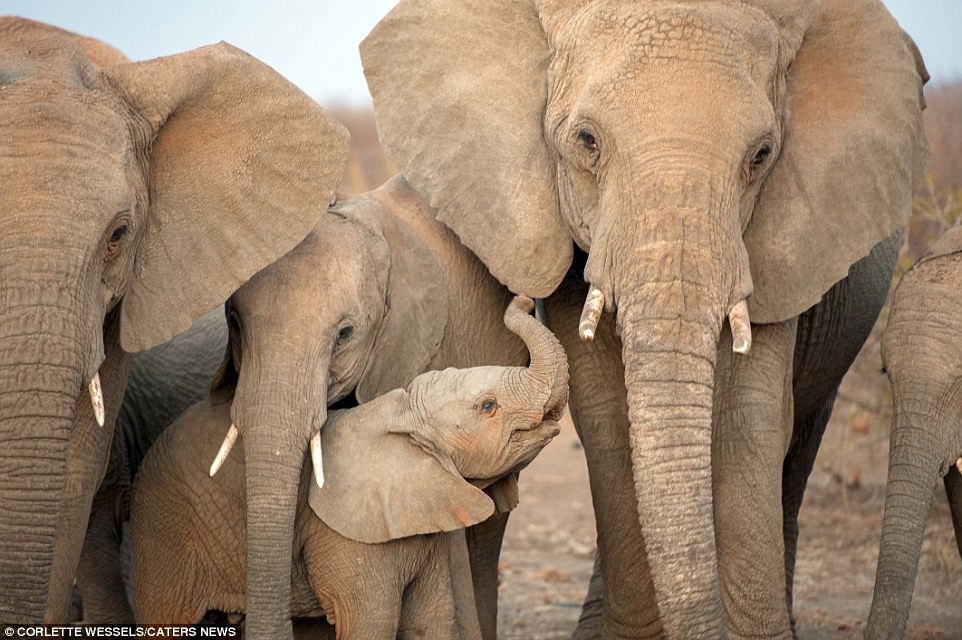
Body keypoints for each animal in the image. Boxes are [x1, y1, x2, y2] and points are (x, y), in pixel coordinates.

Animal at [126, 296, 564, 640]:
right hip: (163, 527)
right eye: (488, 406)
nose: (524, 300)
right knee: (165, 619)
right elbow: (371, 624)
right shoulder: (348, 539)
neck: (401, 414)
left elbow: (432, 621)